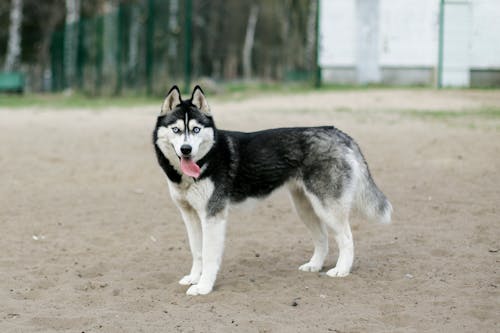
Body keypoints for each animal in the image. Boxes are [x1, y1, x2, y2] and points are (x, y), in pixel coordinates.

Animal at [152, 86, 390, 296]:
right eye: (176, 130)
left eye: (196, 129)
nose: (186, 150)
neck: (206, 159)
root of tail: (338, 133)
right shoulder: (190, 216)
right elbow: (197, 251)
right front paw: (194, 278)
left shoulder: (213, 216)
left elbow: (209, 255)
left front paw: (203, 287)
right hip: (305, 208)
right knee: (322, 238)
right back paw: (314, 265)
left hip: (327, 208)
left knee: (347, 238)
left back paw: (342, 270)